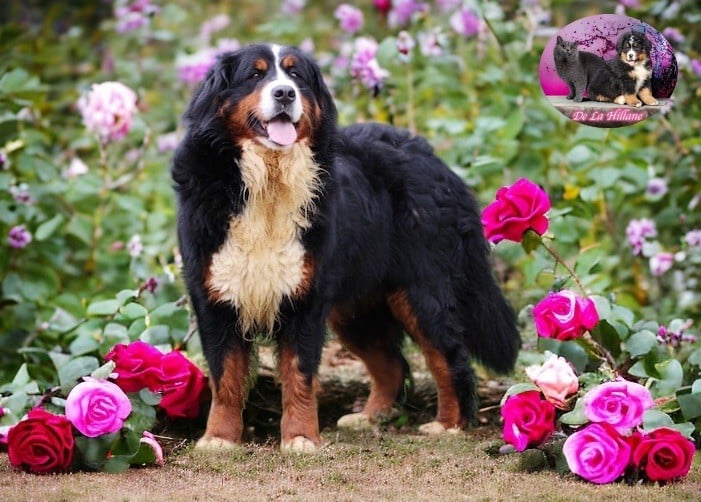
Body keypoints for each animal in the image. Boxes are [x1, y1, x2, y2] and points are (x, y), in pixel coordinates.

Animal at [172, 42, 516, 452]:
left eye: (295, 75)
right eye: (254, 75)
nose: (284, 93)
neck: (268, 180)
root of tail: (435, 161)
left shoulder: (304, 299)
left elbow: (299, 375)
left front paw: (300, 437)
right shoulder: (215, 296)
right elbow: (225, 377)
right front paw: (219, 438)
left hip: (422, 291)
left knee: (450, 357)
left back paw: (449, 424)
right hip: (356, 307)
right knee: (391, 363)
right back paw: (369, 418)